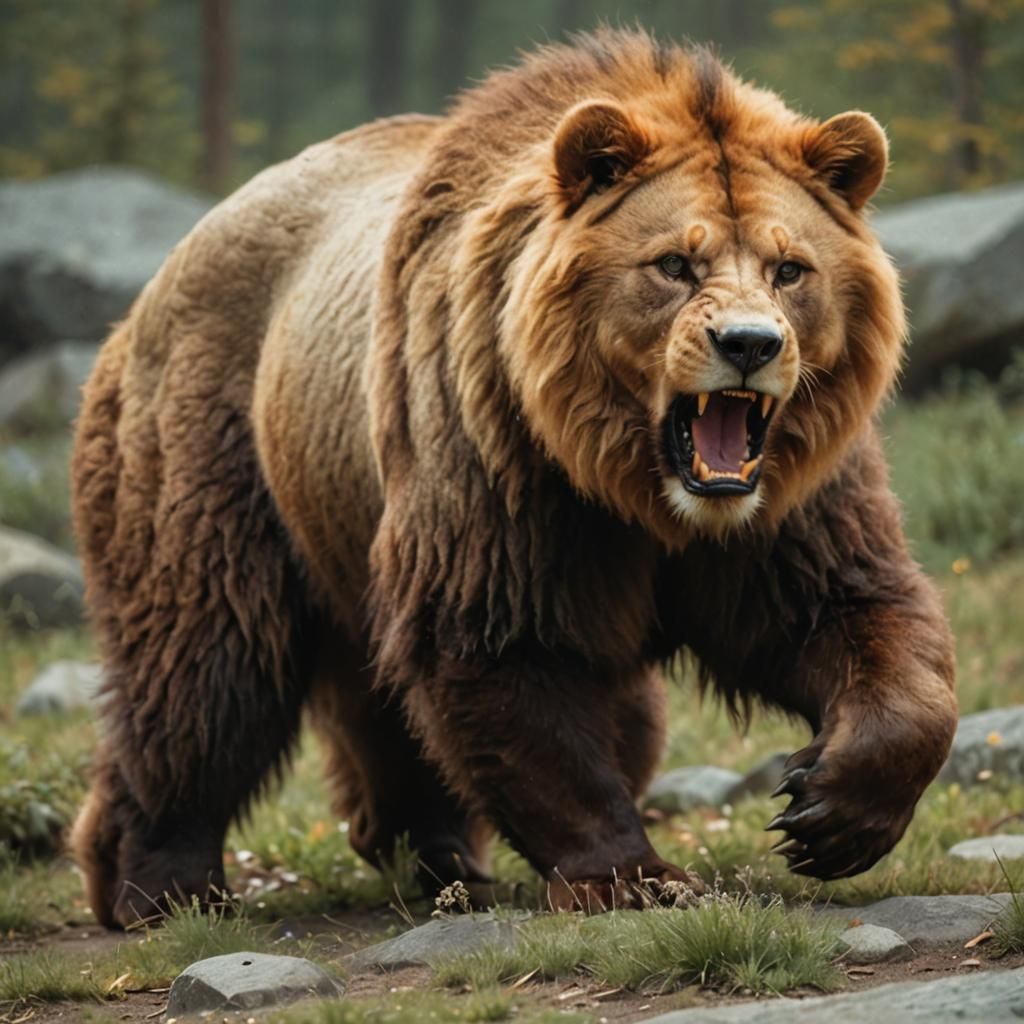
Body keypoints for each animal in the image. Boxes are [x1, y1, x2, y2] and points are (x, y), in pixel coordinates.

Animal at [71, 30, 958, 928]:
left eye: (790, 267)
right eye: (674, 261)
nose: (749, 343)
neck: (644, 494)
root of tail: (182, 251)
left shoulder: (788, 503)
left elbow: (852, 607)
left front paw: (828, 810)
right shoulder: (502, 464)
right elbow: (501, 645)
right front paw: (632, 874)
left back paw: (436, 852)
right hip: (221, 440)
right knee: (206, 661)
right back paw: (160, 880)